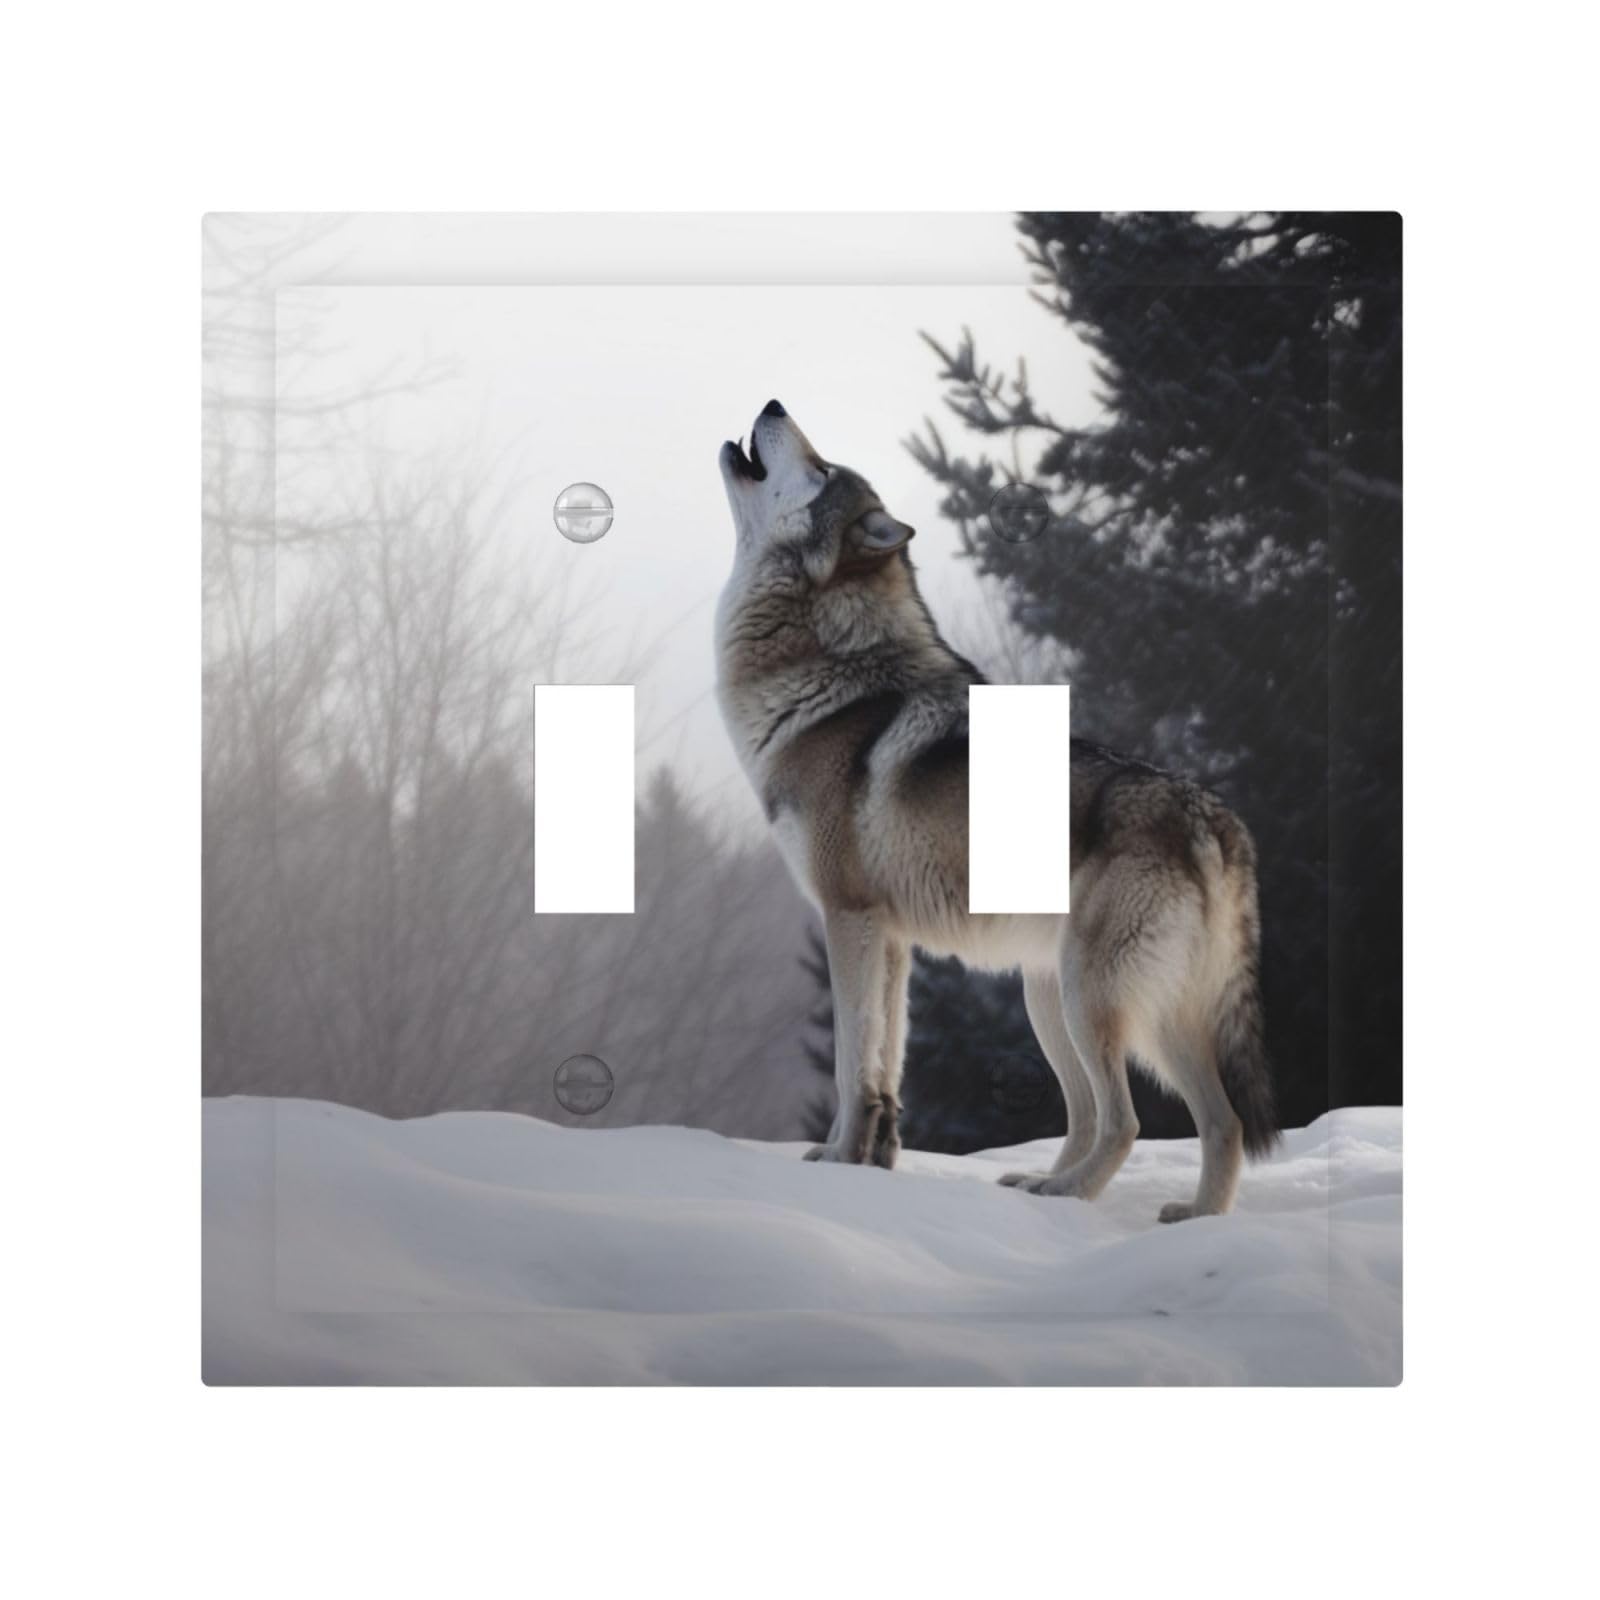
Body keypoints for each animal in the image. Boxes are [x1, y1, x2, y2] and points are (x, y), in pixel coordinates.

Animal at [716, 401, 1278, 1220]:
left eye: (821, 470)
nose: (773, 406)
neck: (828, 673)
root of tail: (1211, 817)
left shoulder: (847, 917)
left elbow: (853, 1061)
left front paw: (838, 1163)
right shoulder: (891, 939)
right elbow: (885, 1064)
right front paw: (869, 1160)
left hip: (1089, 998)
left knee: (1124, 1121)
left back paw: (1067, 1196)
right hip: (1083, 1001)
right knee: (1211, 1120)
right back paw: (1178, 1217)